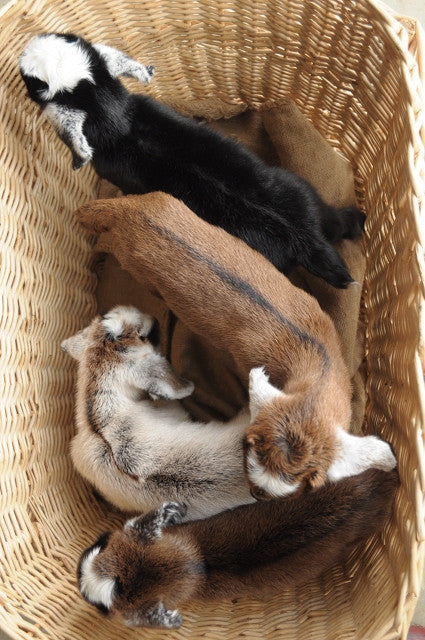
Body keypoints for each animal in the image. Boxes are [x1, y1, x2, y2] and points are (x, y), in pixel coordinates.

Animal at [20, 32, 365, 288]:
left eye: (32, 82)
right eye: (69, 36)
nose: (27, 46)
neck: (118, 120)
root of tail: (304, 237)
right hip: (303, 191)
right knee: (332, 221)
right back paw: (355, 221)